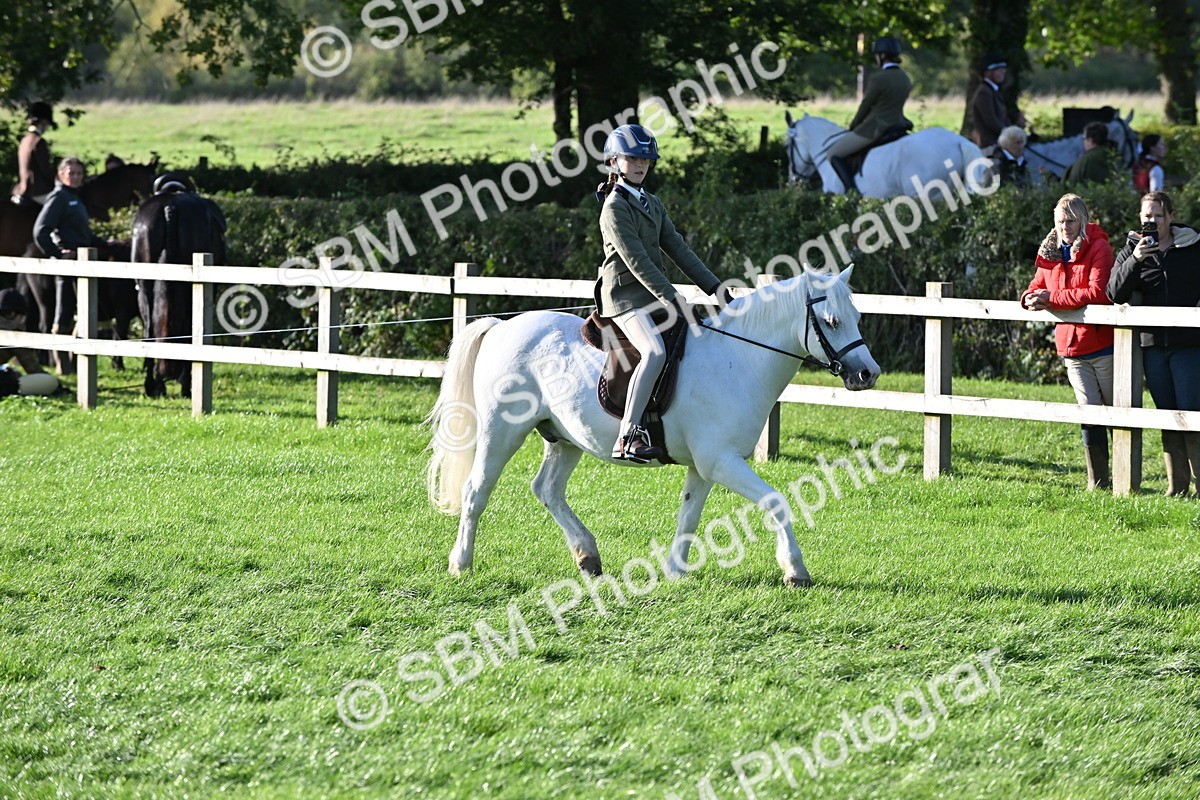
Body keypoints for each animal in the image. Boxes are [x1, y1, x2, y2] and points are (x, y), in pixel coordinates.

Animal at [426, 266, 881, 587]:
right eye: (832, 321)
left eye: (858, 316)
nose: (868, 374)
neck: (738, 357)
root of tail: (502, 326)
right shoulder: (722, 462)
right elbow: (777, 502)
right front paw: (795, 570)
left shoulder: (704, 466)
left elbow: (689, 516)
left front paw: (676, 570)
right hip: (501, 432)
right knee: (476, 492)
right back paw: (461, 563)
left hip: (565, 439)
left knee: (547, 490)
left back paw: (588, 556)